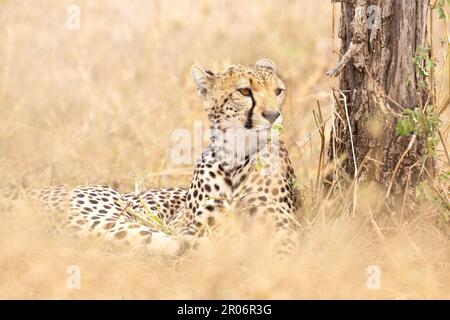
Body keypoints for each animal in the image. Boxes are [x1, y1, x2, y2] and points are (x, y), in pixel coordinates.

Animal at [24, 58, 298, 255]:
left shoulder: (283, 224)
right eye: (244, 91)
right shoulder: (190, 224)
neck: (237, 157)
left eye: (278, 91)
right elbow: (208, 234)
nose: (273, 115)